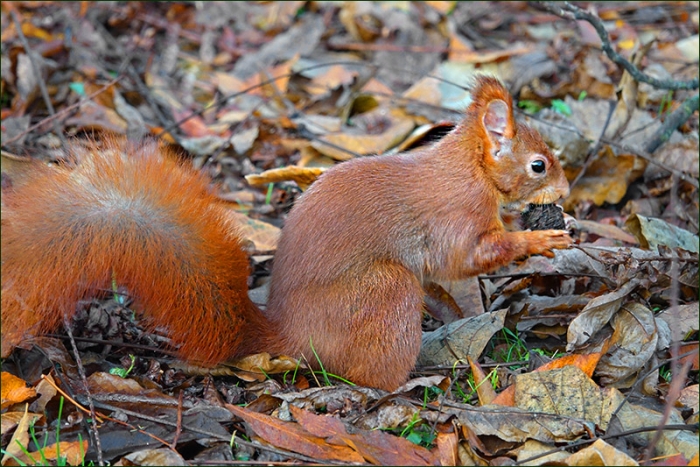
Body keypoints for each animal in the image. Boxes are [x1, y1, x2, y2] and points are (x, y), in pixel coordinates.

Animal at [1, 76, 572, 391]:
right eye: (539, 165)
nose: (567, 190)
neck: (469, 167)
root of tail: (289, 334)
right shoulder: (456, 216)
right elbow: (467, 257)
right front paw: (541, 240)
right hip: (384, 292)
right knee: (367, 375)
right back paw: (414, 375)